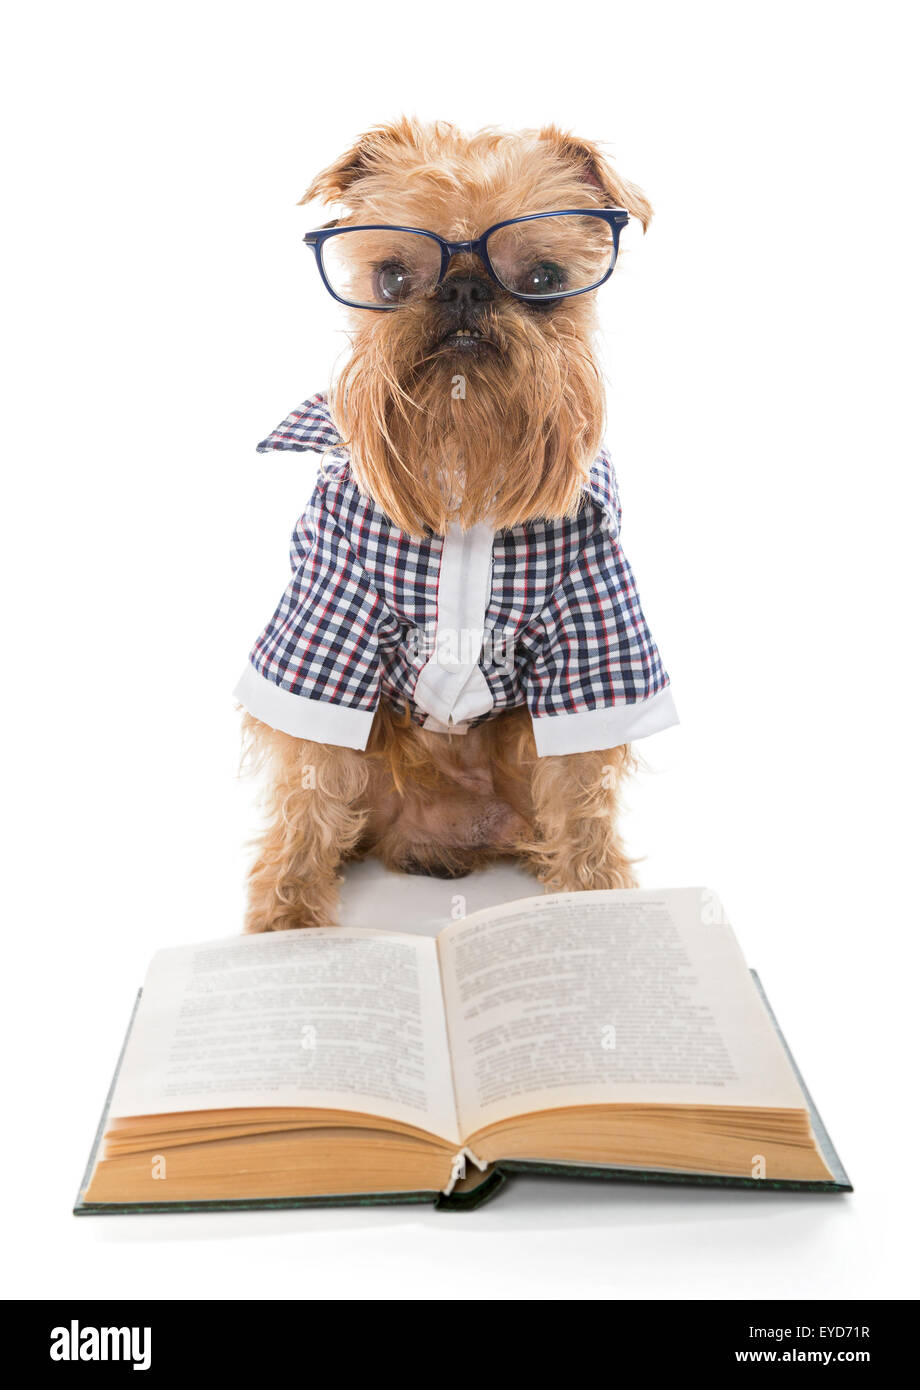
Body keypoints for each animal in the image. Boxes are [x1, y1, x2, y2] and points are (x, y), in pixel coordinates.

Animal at [237, 116, 678, 934]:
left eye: (542, 280)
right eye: (392, 280)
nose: (466, 287)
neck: (464, 466)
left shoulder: (592, 624)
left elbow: (581, 795)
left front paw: (597, 906)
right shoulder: (328, 609)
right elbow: (309, 784)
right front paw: (286, 924)